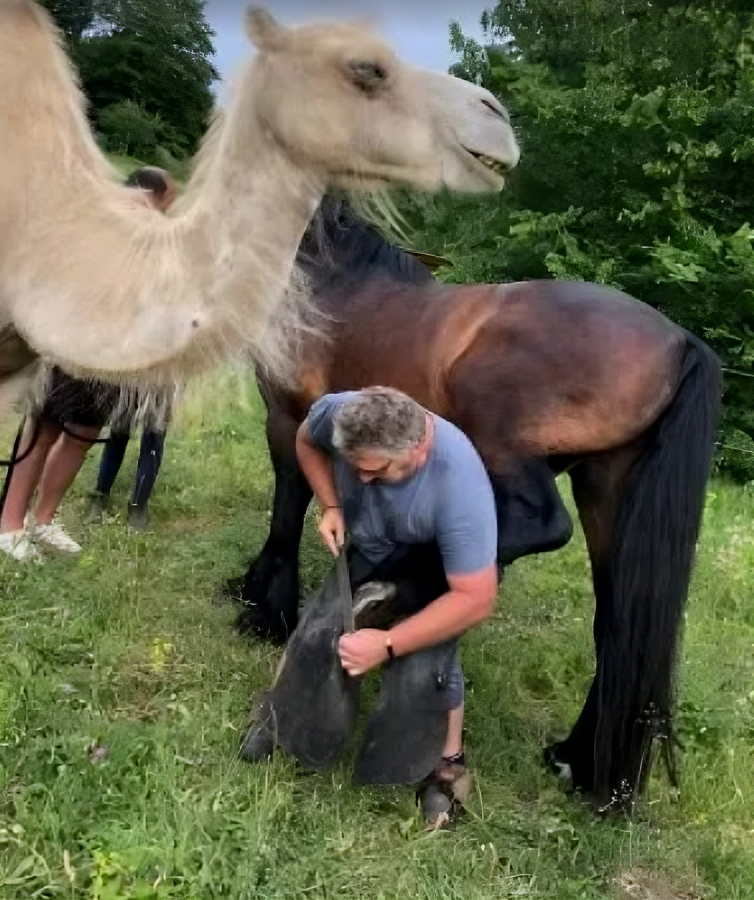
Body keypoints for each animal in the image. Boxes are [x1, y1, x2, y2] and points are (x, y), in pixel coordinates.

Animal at [233, 200, 721, 810]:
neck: (336, 277)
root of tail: (680, 341)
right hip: (604, 488)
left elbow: (288, 506)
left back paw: (404, 581)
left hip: (506, 444)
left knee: (540, 525)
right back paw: (576, 761)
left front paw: (264, 609)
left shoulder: (285, 413)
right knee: (616, 625)